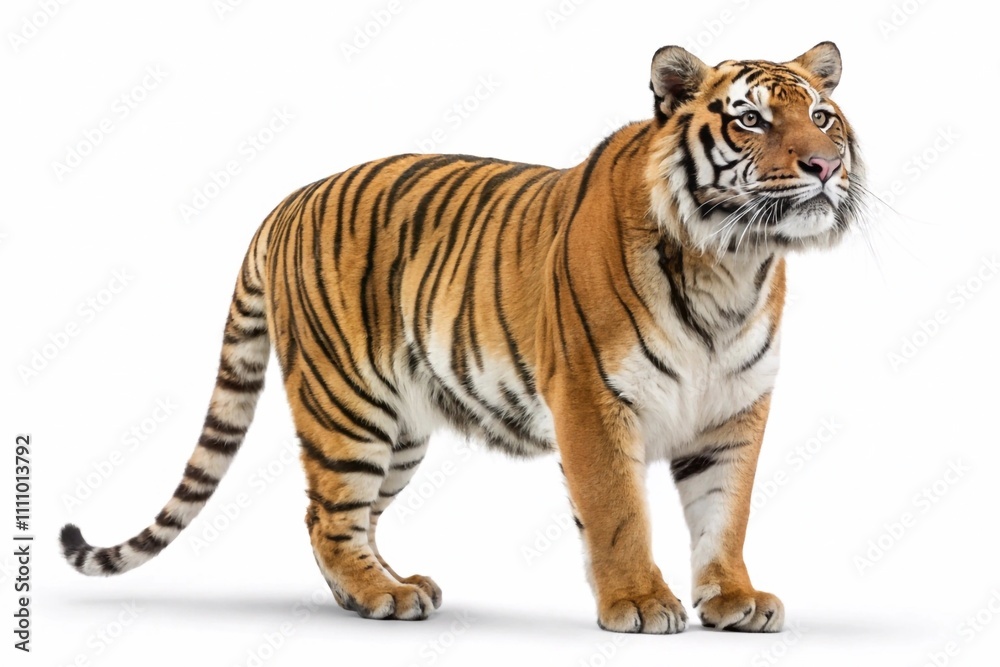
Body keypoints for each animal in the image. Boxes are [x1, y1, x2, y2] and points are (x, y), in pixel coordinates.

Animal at [60, 41, 864, 634]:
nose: (825, 165)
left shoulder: (733, 410)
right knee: (327, 514)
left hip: (401, 427)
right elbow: (618, 512)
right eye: (751, 121)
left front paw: (734, 599)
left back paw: (382, 588)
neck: (732, 263)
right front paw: (638, 602)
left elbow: (725, 512)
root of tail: (287, 200)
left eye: (822, 116)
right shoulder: (592, 400)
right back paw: (381, 596)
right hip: (347, 404)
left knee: (346, 517)